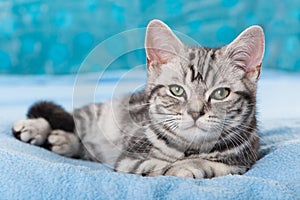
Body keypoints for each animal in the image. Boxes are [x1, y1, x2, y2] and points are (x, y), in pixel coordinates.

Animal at [12, 19, 264, 178]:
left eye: (221, 94)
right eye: (177, 90)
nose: (195, 113)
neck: (190, 147)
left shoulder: (241, 163)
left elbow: (212, 165)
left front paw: (190, 165)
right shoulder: (130, 159)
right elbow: (156, 165)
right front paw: (179, 167)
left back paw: (64, 141)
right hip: (98, 117)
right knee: (74, 119)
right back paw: (36, 128)